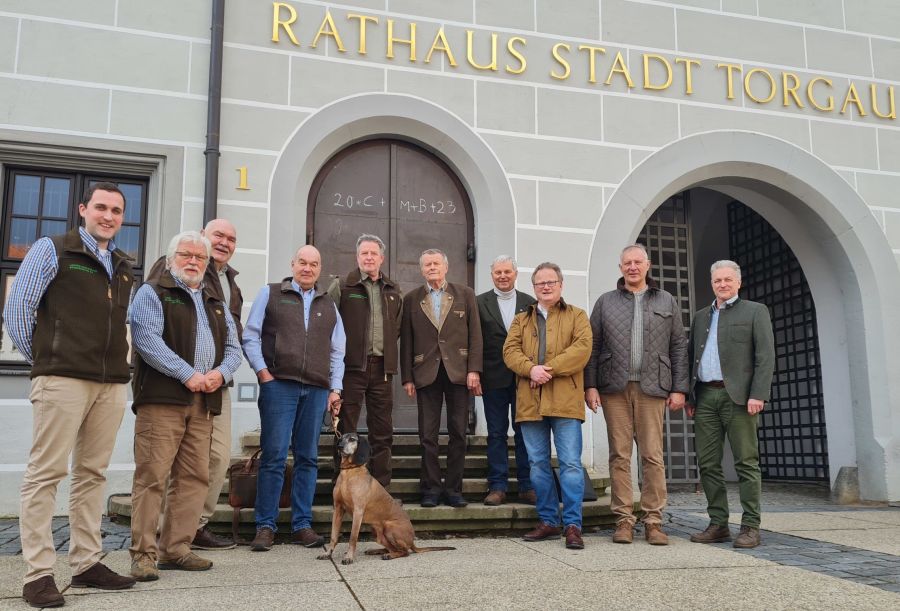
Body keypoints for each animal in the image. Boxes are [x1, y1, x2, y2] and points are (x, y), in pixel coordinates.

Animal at [318, 432, 458, 568]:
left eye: (352, 439)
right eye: (340, 438)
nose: (339, 446)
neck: (349, 472)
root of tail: (412, 541)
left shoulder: (358, 511)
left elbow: (352, 538)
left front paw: (349, 557)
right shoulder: (338, 509)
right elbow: (333, 536)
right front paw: (327, 553)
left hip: (389, 527)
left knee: (405, 552)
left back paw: (390, 555)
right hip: (377, 532)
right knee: (392, 548)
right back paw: (378, 551)